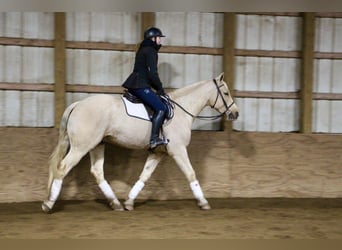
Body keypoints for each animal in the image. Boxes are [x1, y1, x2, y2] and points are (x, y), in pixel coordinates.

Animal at [41, 73, 238, 213]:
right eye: (226, 93)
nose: (235, 113)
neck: (182, 110)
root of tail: (78, 104)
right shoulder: (178, 150)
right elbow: (191, 173)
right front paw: (203, 202)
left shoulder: (158, 152)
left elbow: (144, 176)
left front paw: (129, 202)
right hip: (81, 147)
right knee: (62, 168)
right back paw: (48, 204)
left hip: (97, 145)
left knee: (97, 172)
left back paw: (116, 203)